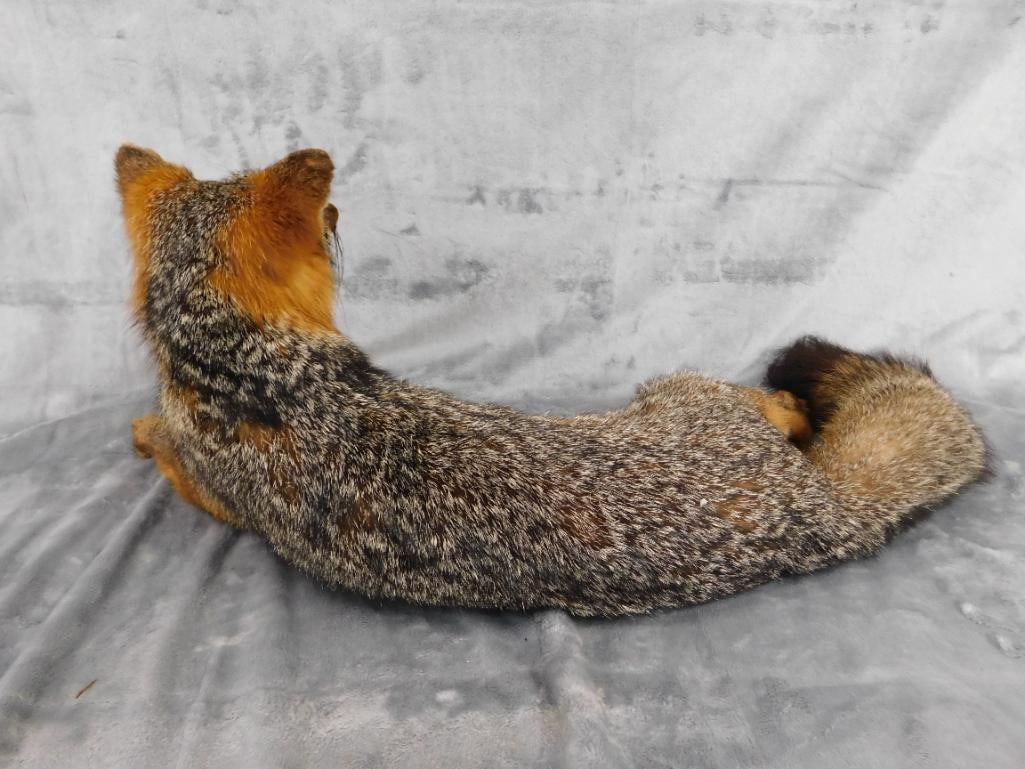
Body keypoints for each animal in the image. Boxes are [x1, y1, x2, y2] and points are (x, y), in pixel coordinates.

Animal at [116, 144, 987, 617]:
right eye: (326, 220)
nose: (337, 218)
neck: (237, 366)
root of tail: (824, 509)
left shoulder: (219, 491)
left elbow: (163, 443)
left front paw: (144, 428)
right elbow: (164, 443)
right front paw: (145, 428)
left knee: (781, 405)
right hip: (678, 390)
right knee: (779, 408)